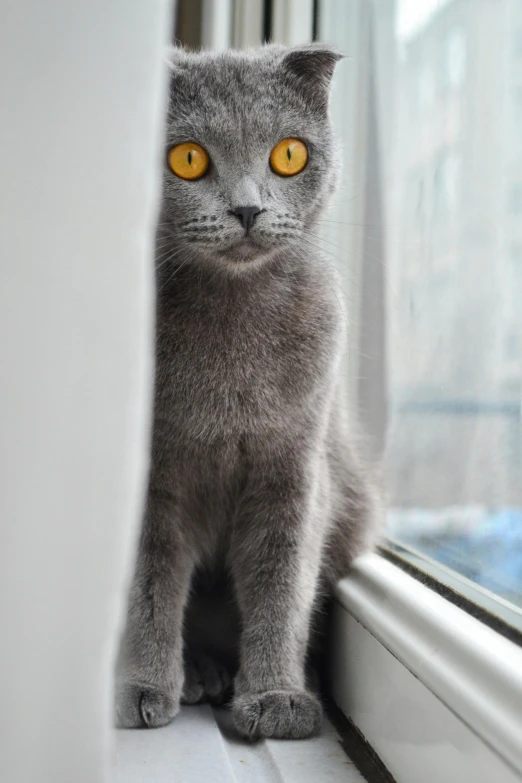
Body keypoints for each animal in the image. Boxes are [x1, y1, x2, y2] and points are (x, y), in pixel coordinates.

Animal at [115, 43, 378, 740]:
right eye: (187, 158)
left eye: (289, 154)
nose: (248, 209)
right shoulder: (152, 481)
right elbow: (148, 584)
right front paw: (141, 686)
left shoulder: (294, 471)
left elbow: (281, 582)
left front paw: (277, 696)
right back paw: (198, 674)